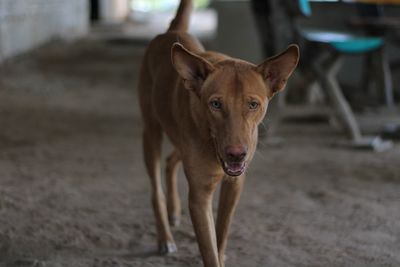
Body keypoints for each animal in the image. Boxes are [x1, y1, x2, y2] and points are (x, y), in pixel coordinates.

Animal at [139, 1, 298, 266]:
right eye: (215, 104)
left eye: (253, 104)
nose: (236, 154)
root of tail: (172, 32)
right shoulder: (199, 196)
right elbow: (209, 249)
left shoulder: (235, 184)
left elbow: (222, 232)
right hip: (151, 131)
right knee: (155, 191)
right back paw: (165, 237)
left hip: (179, 140)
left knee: (170, 161)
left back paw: (174, 211)